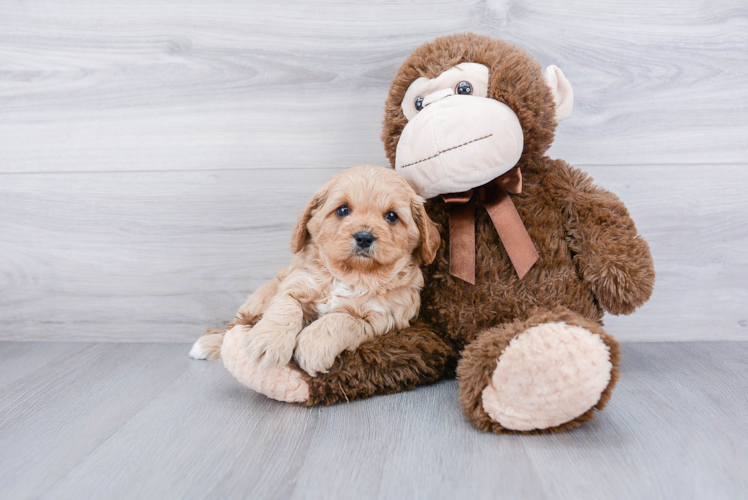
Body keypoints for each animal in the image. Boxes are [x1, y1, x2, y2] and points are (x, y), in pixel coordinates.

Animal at [190, 166, 442, 376]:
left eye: (391, 216)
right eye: (342, 210)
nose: (364, 237)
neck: (352, 275)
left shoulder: (383, 318)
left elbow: (340, 319)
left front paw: (312, 347)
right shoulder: (296, 283)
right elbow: (285, 308)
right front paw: (268, 342)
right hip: (260, 296)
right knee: (236, 325)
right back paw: (209, 344)